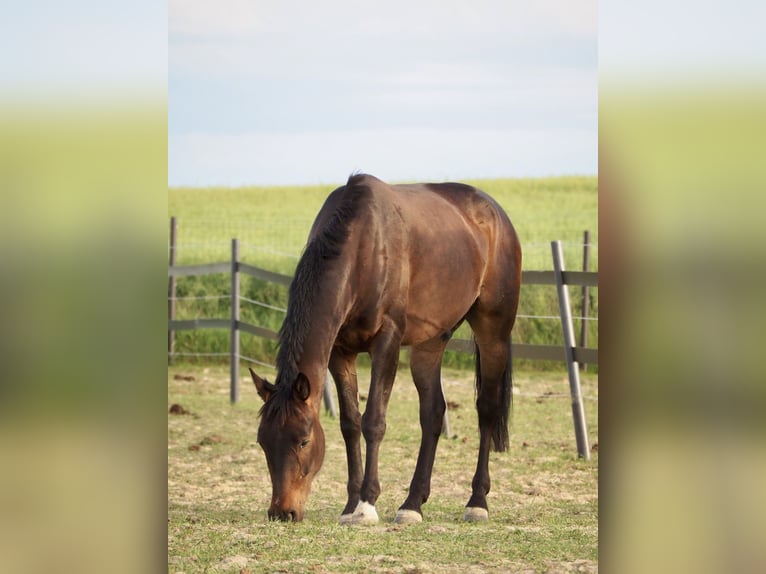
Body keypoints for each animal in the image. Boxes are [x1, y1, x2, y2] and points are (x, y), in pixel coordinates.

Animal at [250, 174, 520, 528]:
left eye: (304, 440)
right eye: (263, 442)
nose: (282, 512)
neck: (363, 246)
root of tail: (496, 213)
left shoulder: (387, 341)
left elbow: (373, 420)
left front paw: (366, 505)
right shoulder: (340, 352)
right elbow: (350, 424)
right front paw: (351, 504)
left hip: (493, 332)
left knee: (486, 409)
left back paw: (477, 502)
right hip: (430, 343)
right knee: (433, 413)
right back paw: (412, 504)